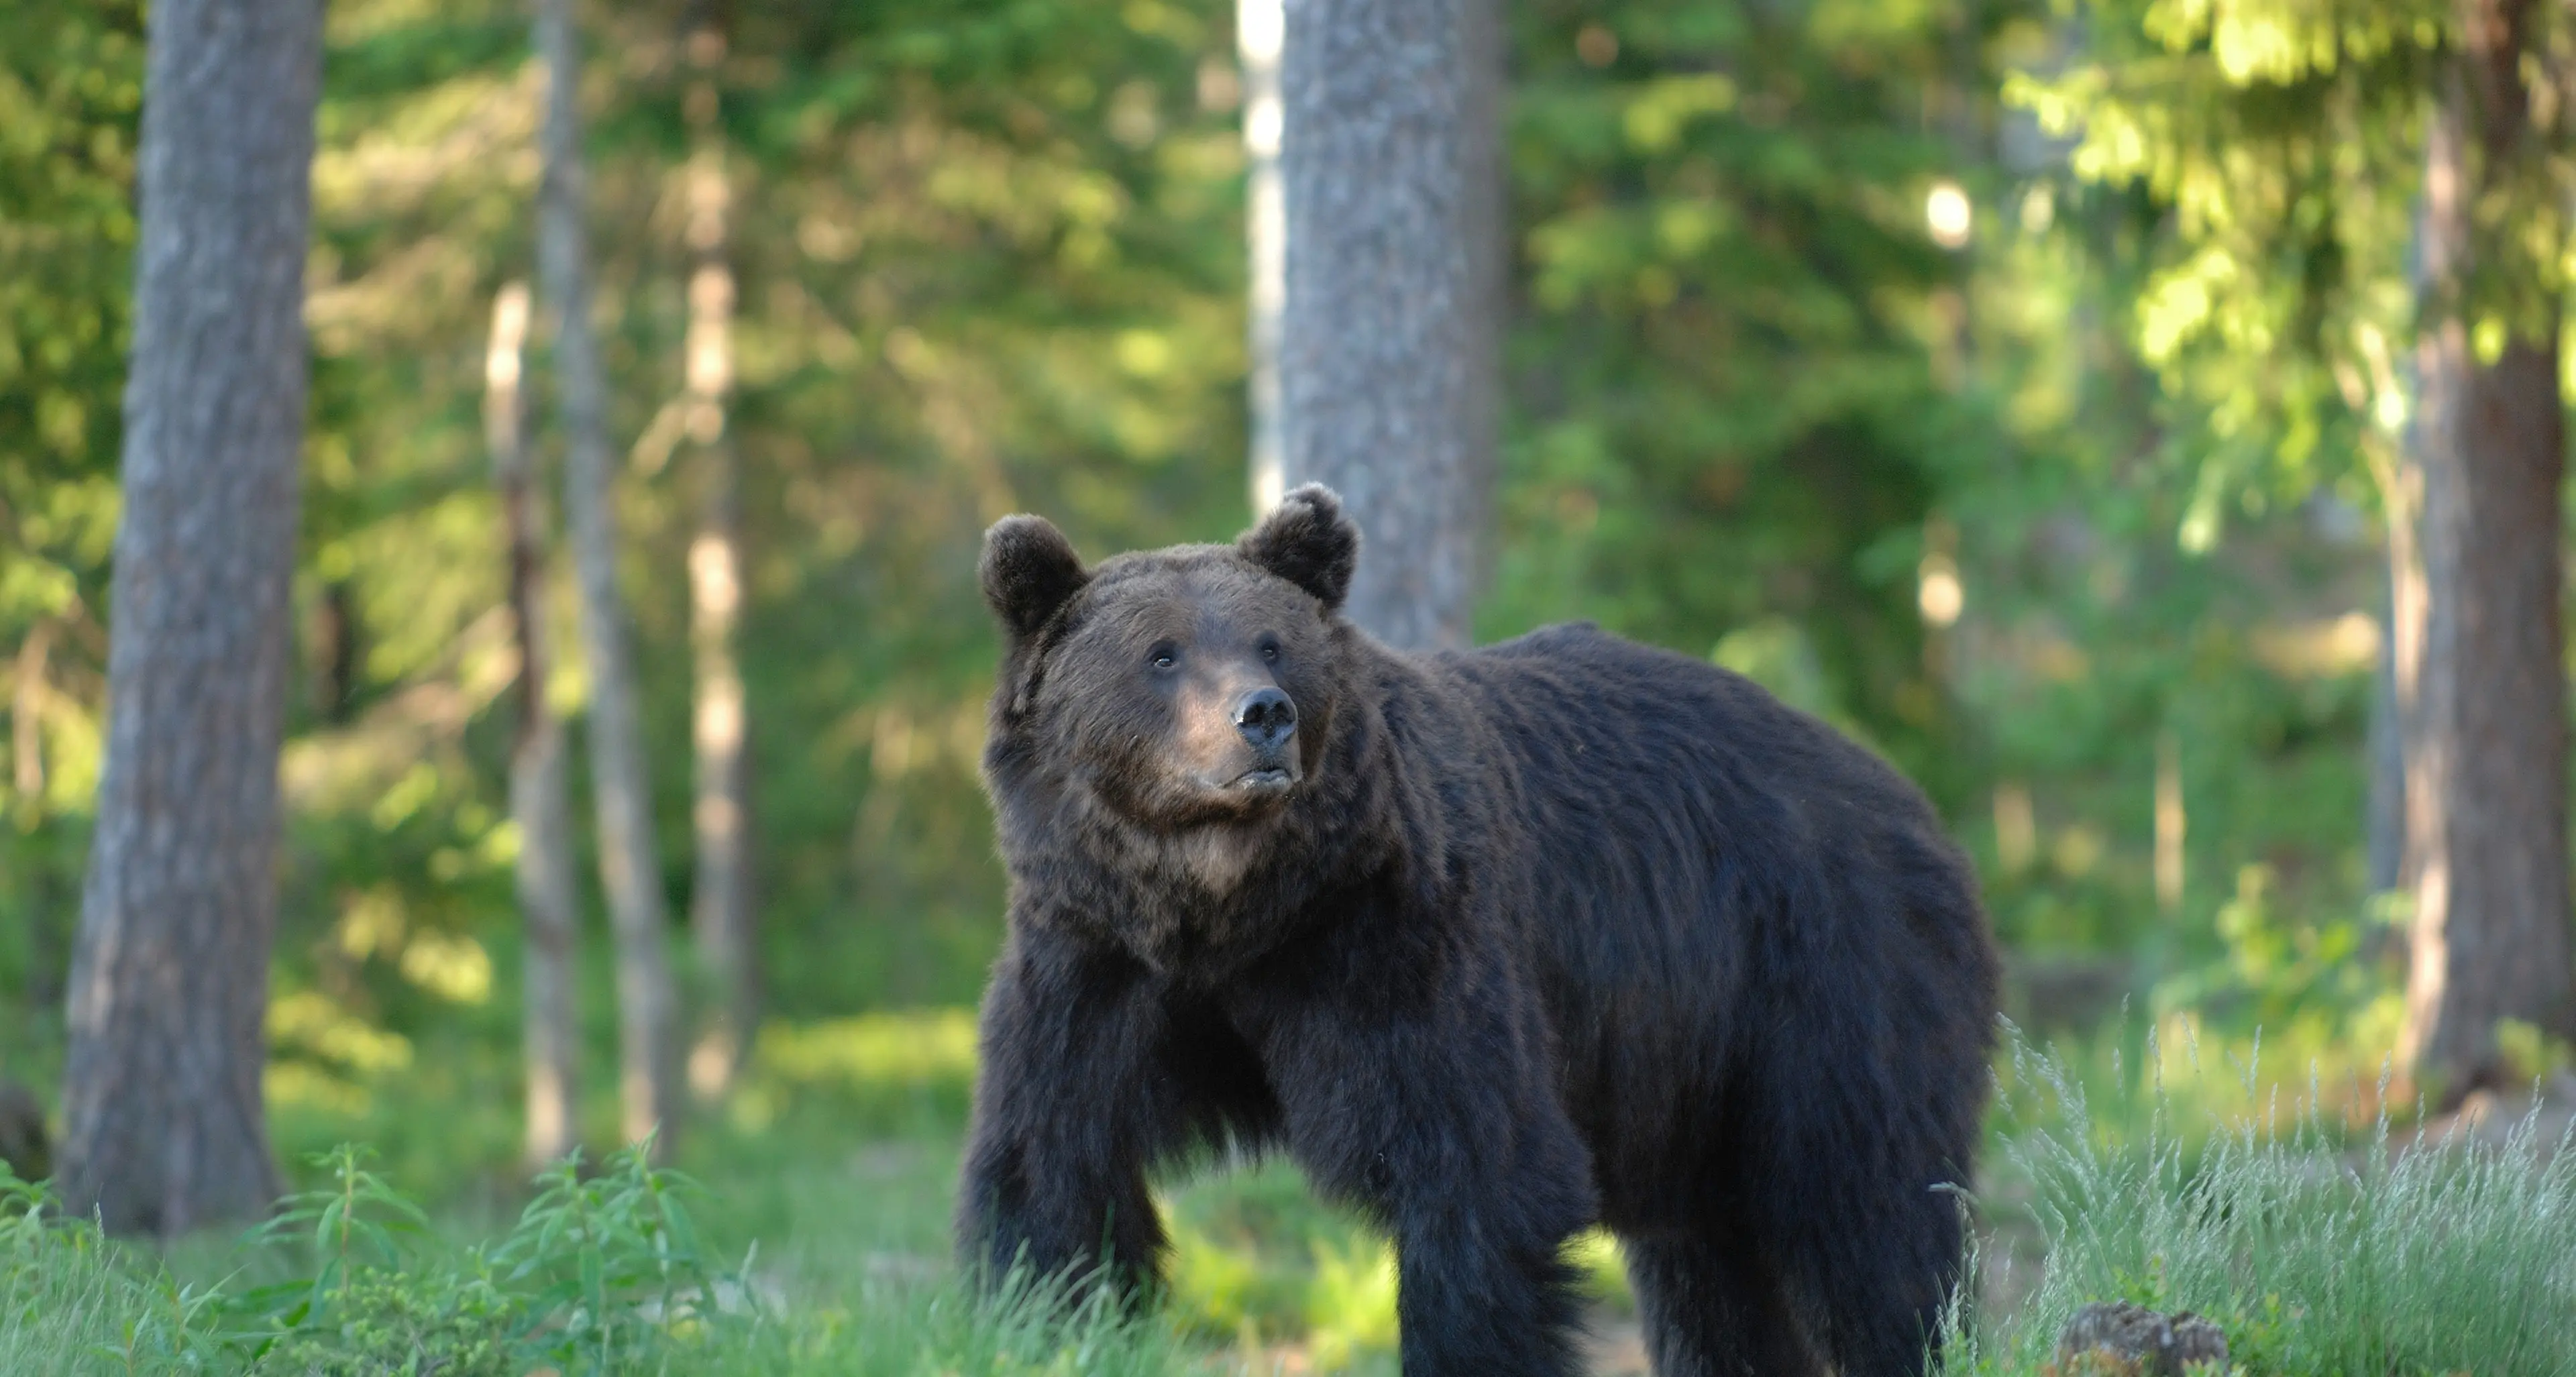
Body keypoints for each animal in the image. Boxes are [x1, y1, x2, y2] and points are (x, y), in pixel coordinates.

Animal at [957, 485, 1999, 1377]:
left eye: (1272, 643)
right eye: (1162, 652)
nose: (1263, 716)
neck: (1234, 909)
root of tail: (1903, 798)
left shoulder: (1403, 942)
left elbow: (1476, 1172)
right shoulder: (1096, 965)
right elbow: (1051, 1167)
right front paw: (1045, 1325)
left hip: (1826, 971)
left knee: (1868, 1209)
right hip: (1690, 1075)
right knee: (1710, 1262)